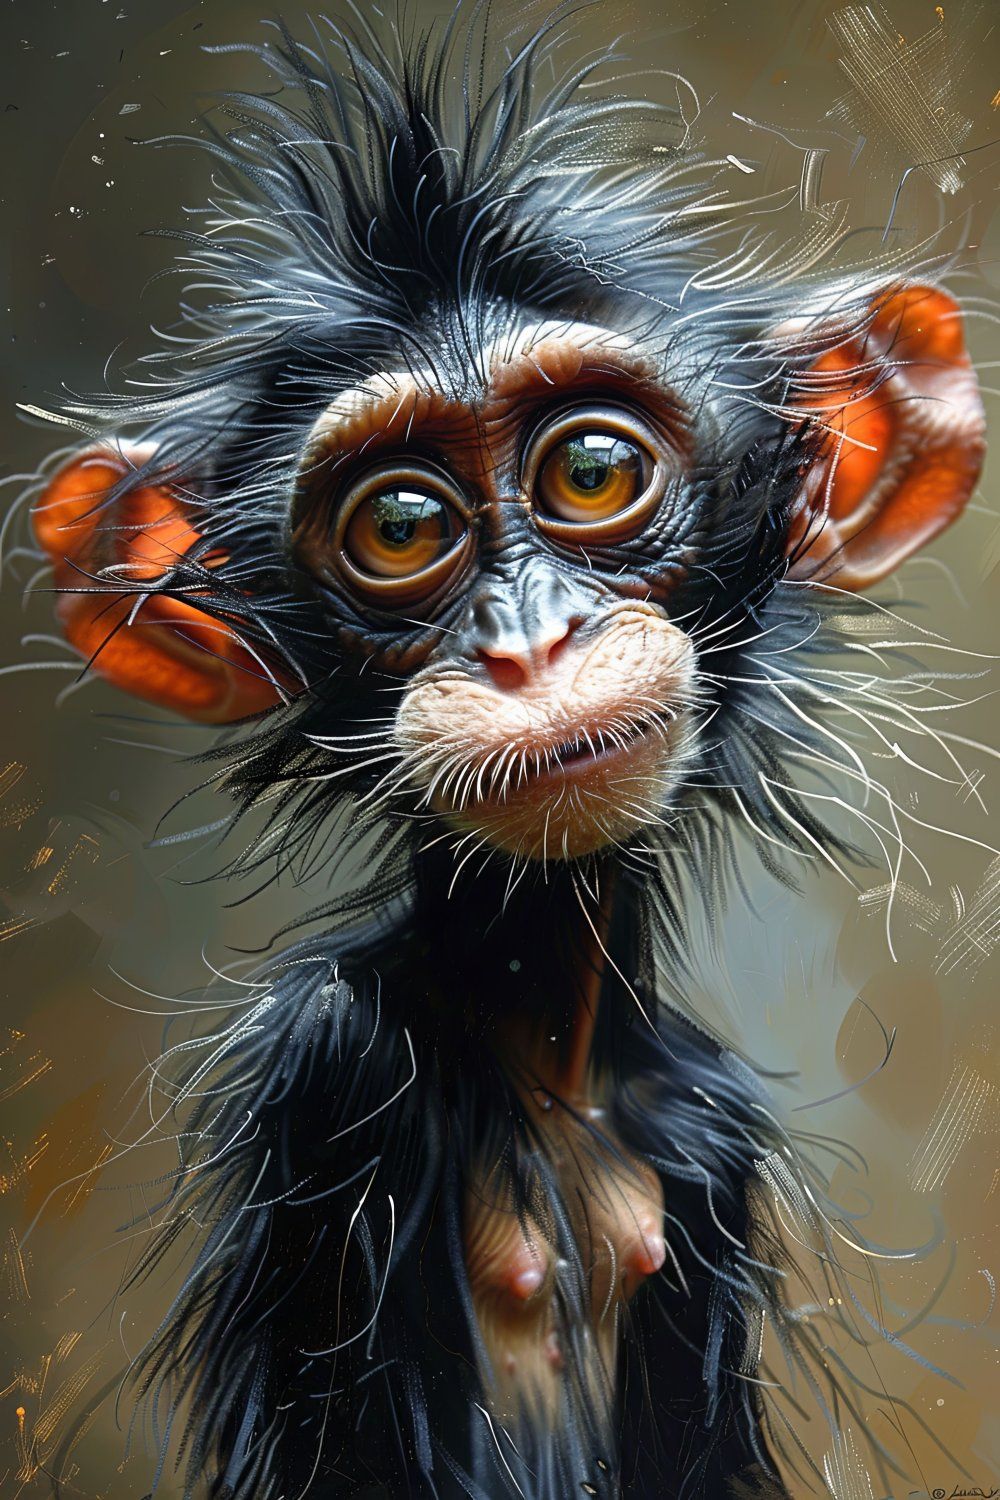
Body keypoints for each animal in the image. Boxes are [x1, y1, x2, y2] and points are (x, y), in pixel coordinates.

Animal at [20, 9, 986, 1500]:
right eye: (403, 525)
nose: (528, 642)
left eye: (591, 471)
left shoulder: (708, 1149)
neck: (543, 1050)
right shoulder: (329, 1076)